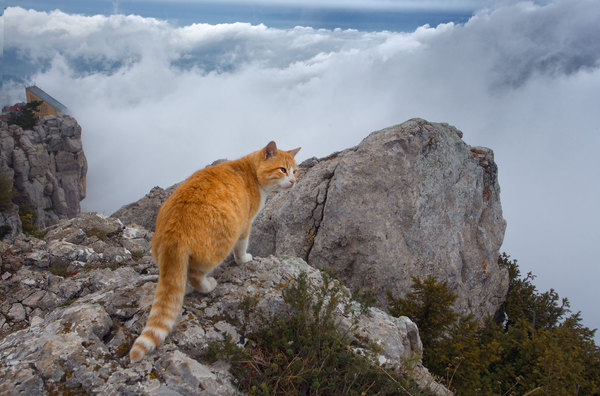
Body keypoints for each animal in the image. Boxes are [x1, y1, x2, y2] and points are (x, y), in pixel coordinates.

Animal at [131, 141, 300, 360]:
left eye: (295, 170)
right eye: (282, 170)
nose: (294, 180)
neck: (250, 171)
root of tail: (173, 232)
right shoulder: (245, 225)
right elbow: (242, 248)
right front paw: (244, 259)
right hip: (220, 245)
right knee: (196, 275)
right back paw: (207, 285)